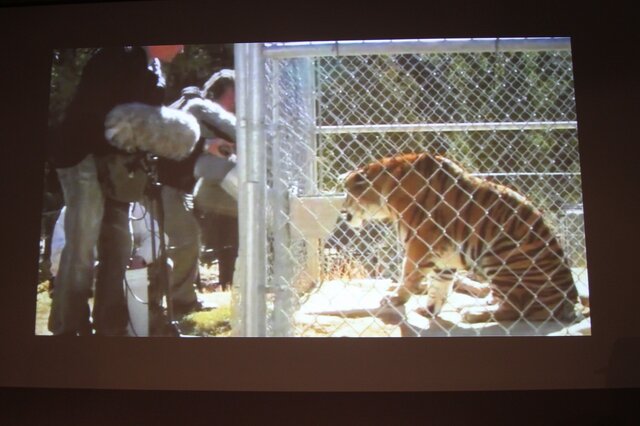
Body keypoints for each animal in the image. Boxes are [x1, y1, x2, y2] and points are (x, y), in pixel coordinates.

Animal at [342, 153, 576, 322]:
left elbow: (408, 275)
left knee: (518, 308)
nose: (343, 213)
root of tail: (569, 301)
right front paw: (429, 310)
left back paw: (472, 313)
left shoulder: (420, 244)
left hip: (500, 256)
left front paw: (395, 299)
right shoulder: (443, 254)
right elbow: (440, 285)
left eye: (347, 193)